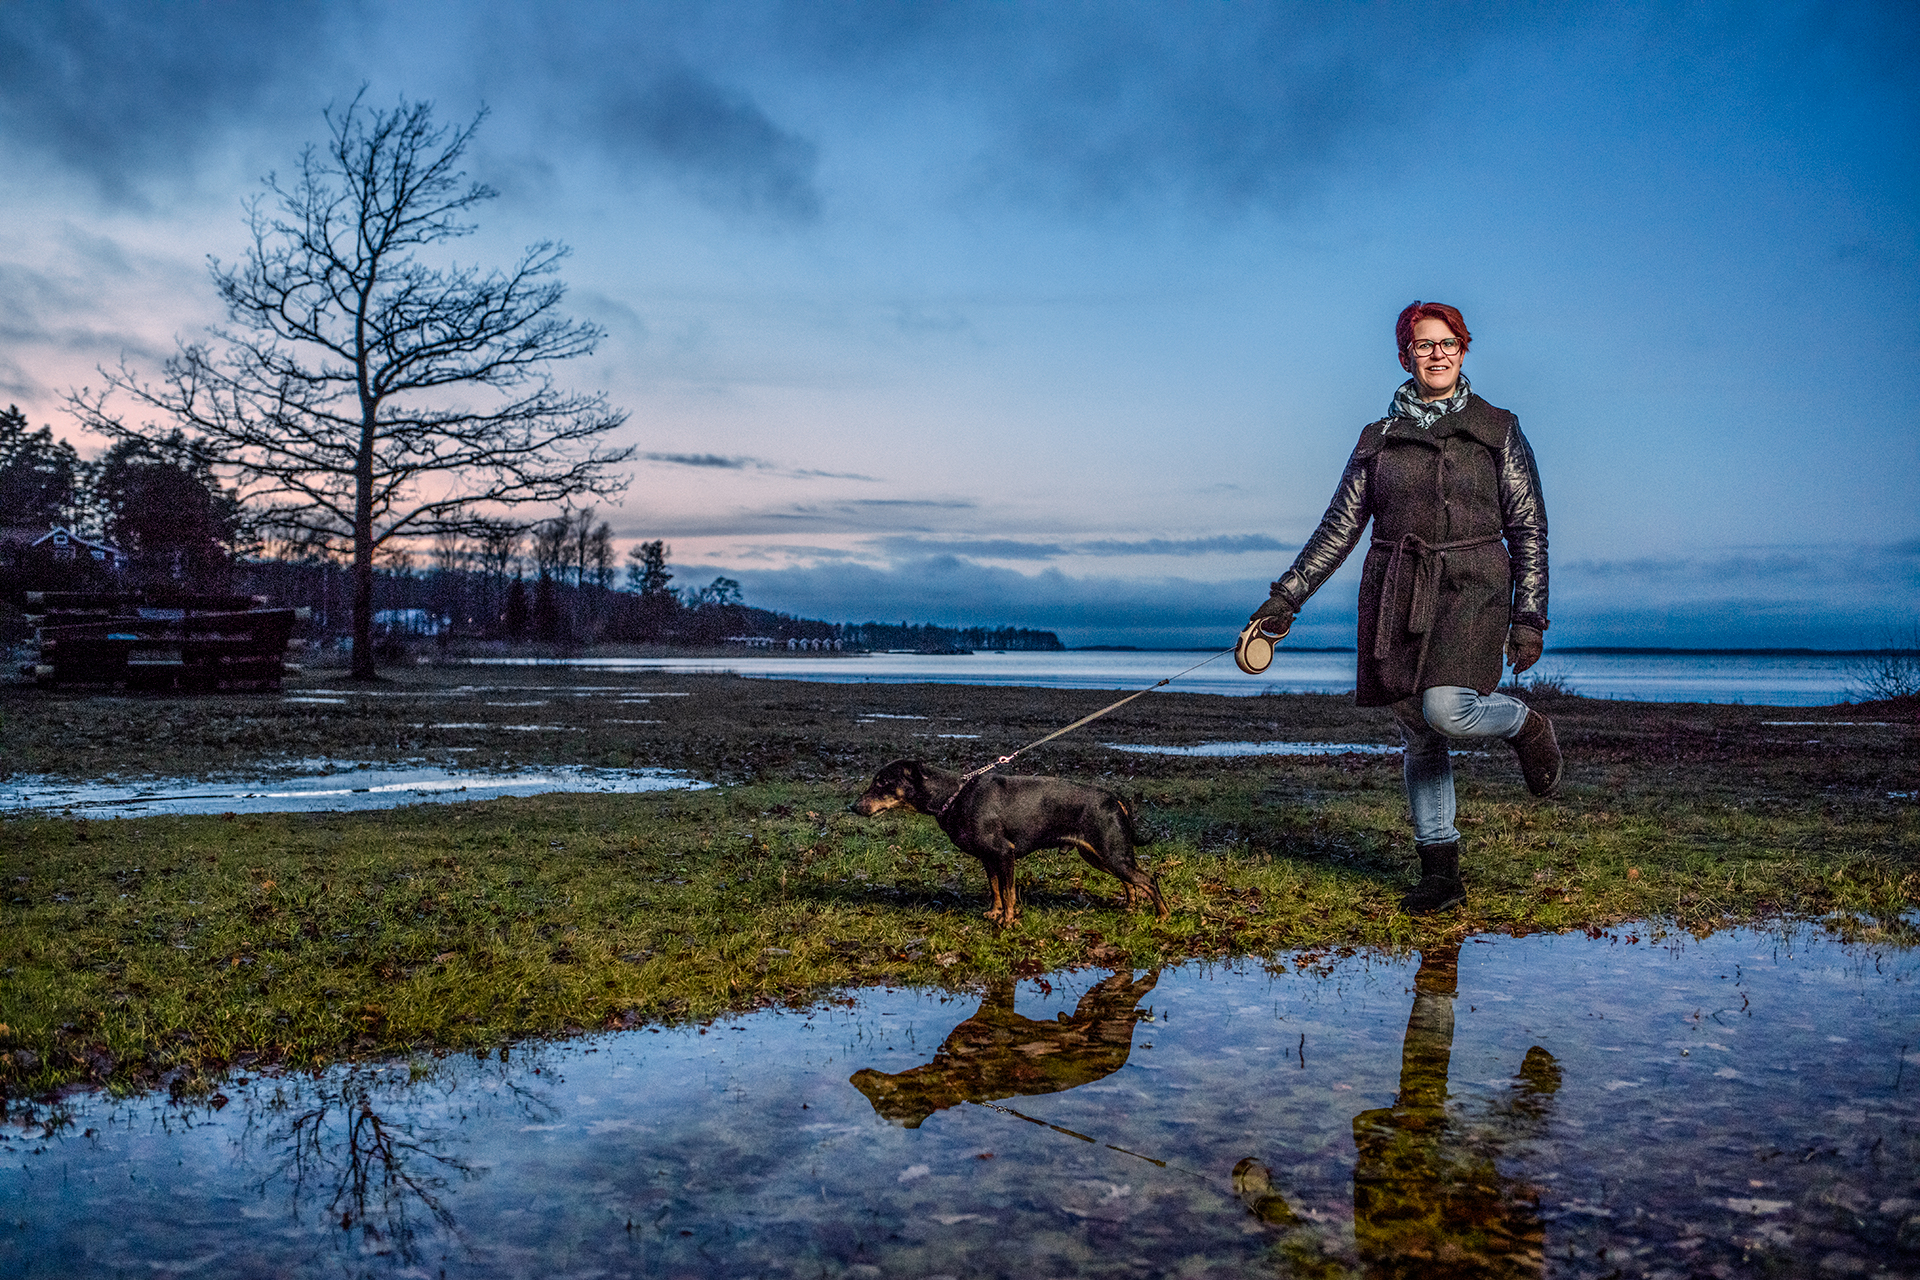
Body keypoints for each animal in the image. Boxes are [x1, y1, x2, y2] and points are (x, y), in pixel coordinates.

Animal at [856, 756, 1167, 924]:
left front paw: (1007, 920)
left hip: (1111, 853)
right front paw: (994, 914)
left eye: (882, 783)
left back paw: (1163, 915)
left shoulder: (1005, 853)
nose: (853, 807)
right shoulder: (989, 858)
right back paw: (1130, 906)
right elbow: (995, 889)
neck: (953, 796)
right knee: (1131, 881)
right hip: (1099, 855)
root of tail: (1115, 798)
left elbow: (1008, 892)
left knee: (1148, 879)